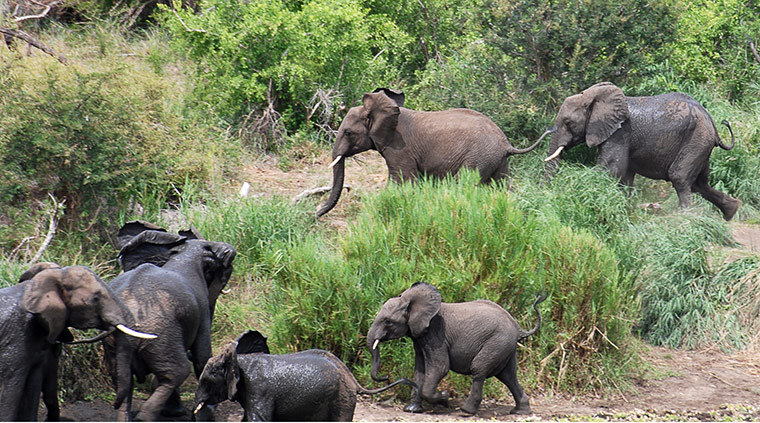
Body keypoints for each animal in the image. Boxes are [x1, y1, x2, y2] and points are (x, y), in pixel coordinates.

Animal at [103, 220, 236, 421]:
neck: (184, 254)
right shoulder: (202, 309)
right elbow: (202, 356)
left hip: (115, 342)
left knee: (122, 379)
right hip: (160, 333)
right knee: (177, 371)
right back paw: (149, 417)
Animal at [317, 88, 551, 217]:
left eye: (348, 132)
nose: (314, 214)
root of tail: (506, 143)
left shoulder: (399, 148)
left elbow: (402, 182)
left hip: (479, 157)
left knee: (464, 184)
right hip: (498, 161)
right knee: (502, 187)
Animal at [367, 282, 546, 415]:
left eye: (388, 321)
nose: (386, 376)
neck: (410, 300)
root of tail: (517, 327)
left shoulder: (436, 334)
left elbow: (440, 367)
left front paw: (444, 398)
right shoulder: (419, 337)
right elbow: (420, 368)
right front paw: (412, 410)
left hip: (497, 342)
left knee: (479, 368)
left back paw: (466, 411)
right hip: (506, 346)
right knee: (508, 376)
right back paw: (520, 412)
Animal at [543, 82, 740, 220]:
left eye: (568, 122)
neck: (593, 98)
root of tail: (711, 121)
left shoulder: (620, 133)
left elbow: (610, 169)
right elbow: (625, 177)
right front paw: (625, 209)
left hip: (697, 139)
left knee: (680, 177)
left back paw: (686, 218)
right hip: (701, 143)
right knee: (700, 183)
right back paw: (732, 212)